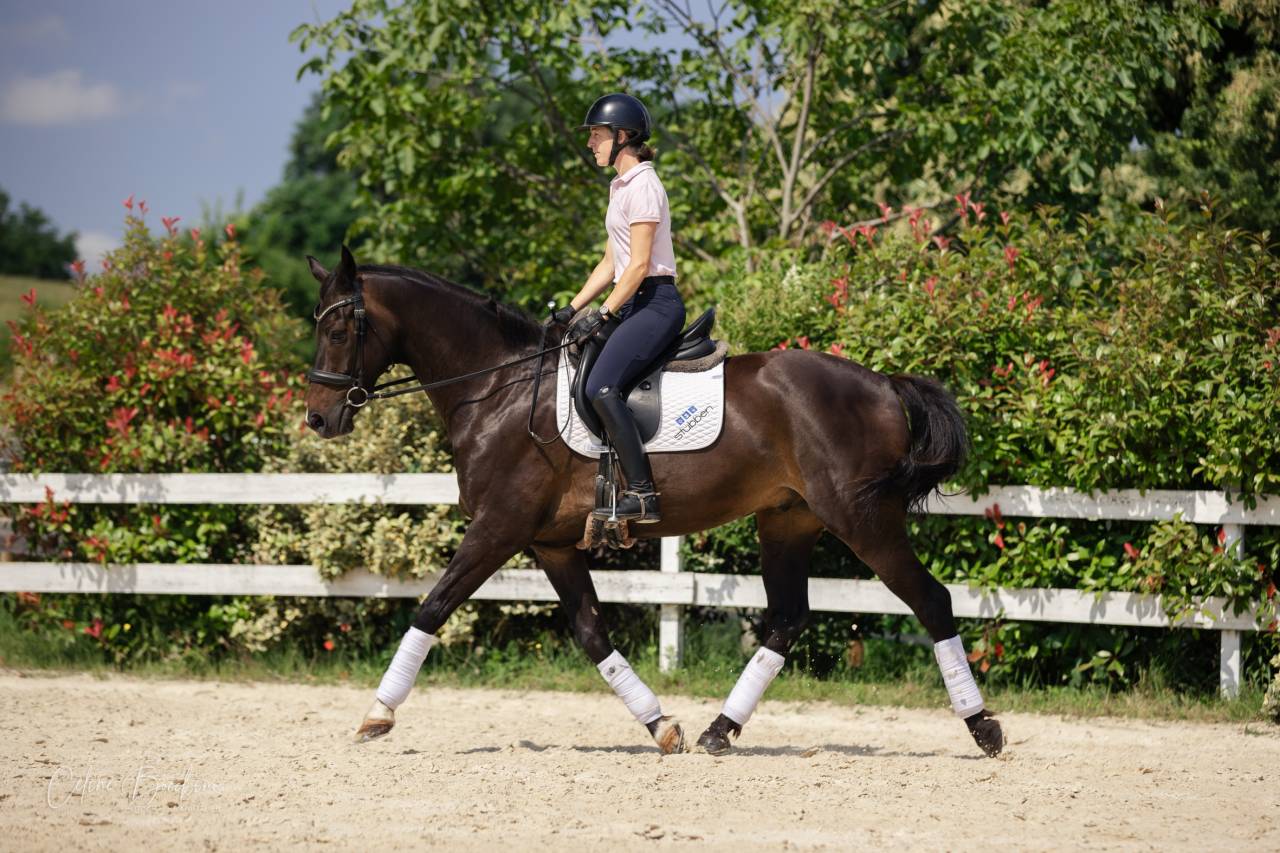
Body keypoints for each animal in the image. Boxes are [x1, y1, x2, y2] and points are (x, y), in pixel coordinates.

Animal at [303, 245, 1004, 758]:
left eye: (338, 327)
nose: (317, 418)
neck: (500, 389)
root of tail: (883, 382)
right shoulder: (552, 544)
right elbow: (591, 632)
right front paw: (661, 726)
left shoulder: (497, 530)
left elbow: (431, 607)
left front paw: (376, 714)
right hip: (787, 520)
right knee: (787, 618)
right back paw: (719, 731)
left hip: (862, 519)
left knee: (931, 601)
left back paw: (983, 727)